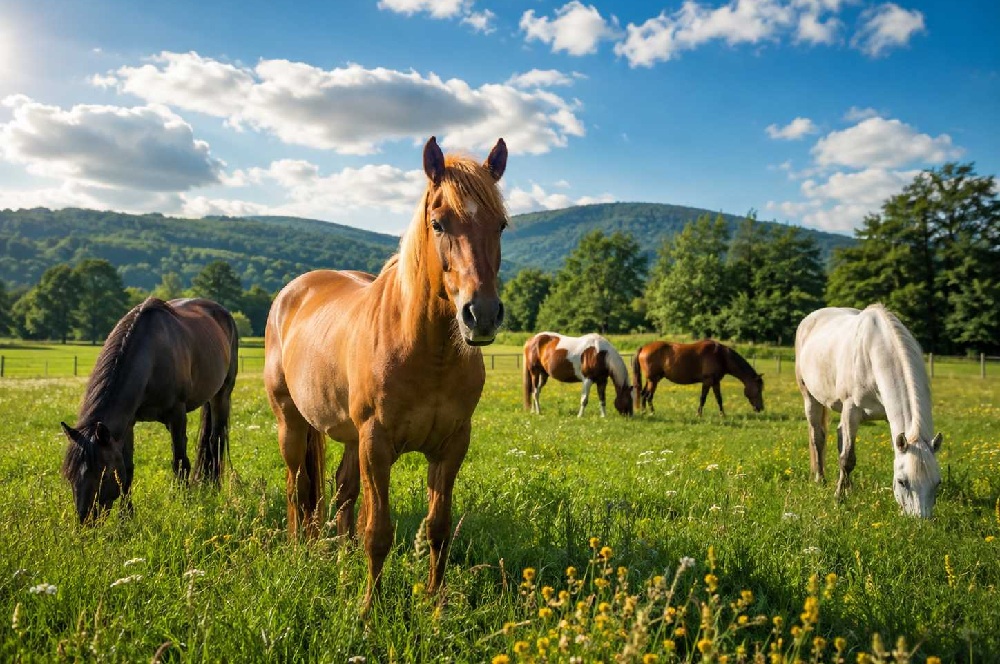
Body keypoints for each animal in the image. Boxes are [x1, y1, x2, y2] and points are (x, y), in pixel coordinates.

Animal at [61, 297, 238, 523]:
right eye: (70, 475)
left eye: (104, 474)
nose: (86, 520)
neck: (151, 358)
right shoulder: (127, 424)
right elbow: (127, 470)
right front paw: (126, 518)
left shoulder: (177, 414)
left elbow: (180, 462)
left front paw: (182, 506)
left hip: (222, 394)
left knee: (216, 441)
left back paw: (214, 488)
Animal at [264, 136, 508, 615]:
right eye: (438, 223)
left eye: (502, 225)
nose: (482, 315)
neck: (427, 353)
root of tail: (291, 293)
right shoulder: (376, 443)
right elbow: (377, 532)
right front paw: (368, 611)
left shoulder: (451, 446)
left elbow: (437, 528)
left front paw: (435, 605)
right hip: (292, 422)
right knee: (297, 486)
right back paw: (299, 550)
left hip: (349, 436)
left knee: (340, 493)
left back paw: (338, 560)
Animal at [633, 339, 764, 416]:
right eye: (758, 390)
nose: (761, 408)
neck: (721, 356)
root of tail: (644, 348)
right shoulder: (707, 381)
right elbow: (703, 398)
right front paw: (699, 414)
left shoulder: (716, 382)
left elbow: (719, 399)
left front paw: (723, 415)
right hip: (654, 380)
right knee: (649, 396)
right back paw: (652, 413)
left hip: (651, 380)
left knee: (644, 394)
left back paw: (644, 412)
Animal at [795, 304, 943, 518]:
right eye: (902, 482)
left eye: (937, 483)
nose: (920, 521)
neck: (873, 355)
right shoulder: (851, 410)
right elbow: (847, 459)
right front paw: (838, 499)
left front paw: (845, 491)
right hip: (810, 397)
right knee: (818, 438)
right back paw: (821, 480)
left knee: (840, 436)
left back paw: (849, 487)